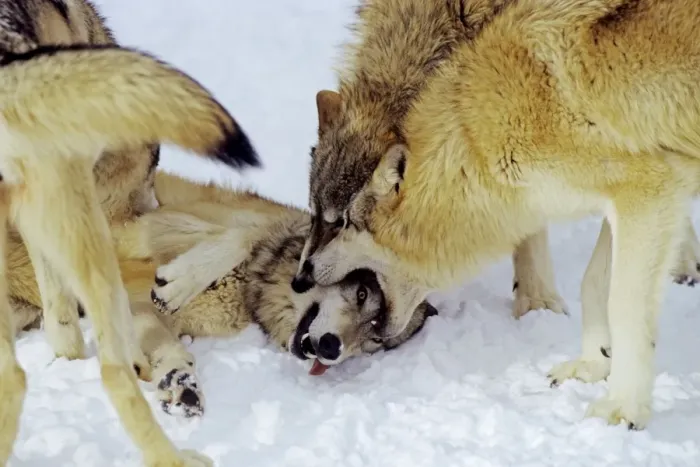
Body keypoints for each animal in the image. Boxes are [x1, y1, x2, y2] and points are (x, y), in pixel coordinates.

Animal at [0, 0, 260, 464]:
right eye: (148, 173)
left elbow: (62, 326)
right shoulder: (113, 225)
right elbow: (239, 231)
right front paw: (176, 285)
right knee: (110, 371)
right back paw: (176, 456)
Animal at [12, 171, 437, 417]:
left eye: (374, 341)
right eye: (363, 293)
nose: (333, 348)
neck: (252, 282)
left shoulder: (150, 312)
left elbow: (167, 347)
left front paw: (179, 382)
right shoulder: (129, 227)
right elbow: (241, 234)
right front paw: (181, 278)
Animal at [295, 0, 700, 430]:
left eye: (343, 222)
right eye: (315, 213)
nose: (300, 278)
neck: (474, 141)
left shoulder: (649, 188)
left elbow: (623, 304)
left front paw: (623, 408)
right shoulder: (634, 195)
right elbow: (593, 283)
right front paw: (592, 365)